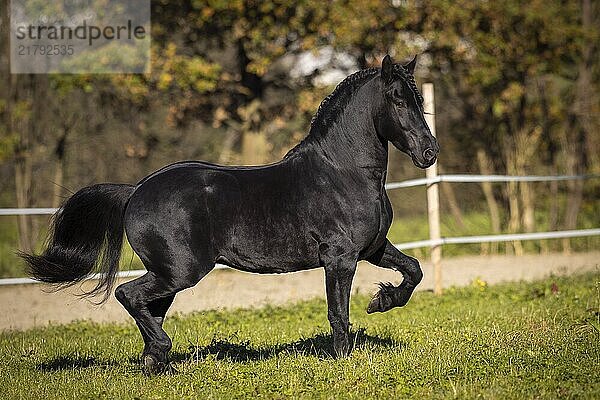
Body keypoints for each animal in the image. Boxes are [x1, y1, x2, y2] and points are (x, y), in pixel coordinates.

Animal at [23, 54, 438, 374]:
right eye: (398, 100)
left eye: (419, 99)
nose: (429, 152)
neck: (341, 173)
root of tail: (137, 190)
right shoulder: (340, 258)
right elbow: (338, 313)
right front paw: (342, 359)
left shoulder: (372, 248)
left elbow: (414, 271)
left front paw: (381, 301)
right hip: (180, 271)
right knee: (129, 295)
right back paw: (162, 351)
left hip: (168, 274)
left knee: (148, 308)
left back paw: (156, 362)